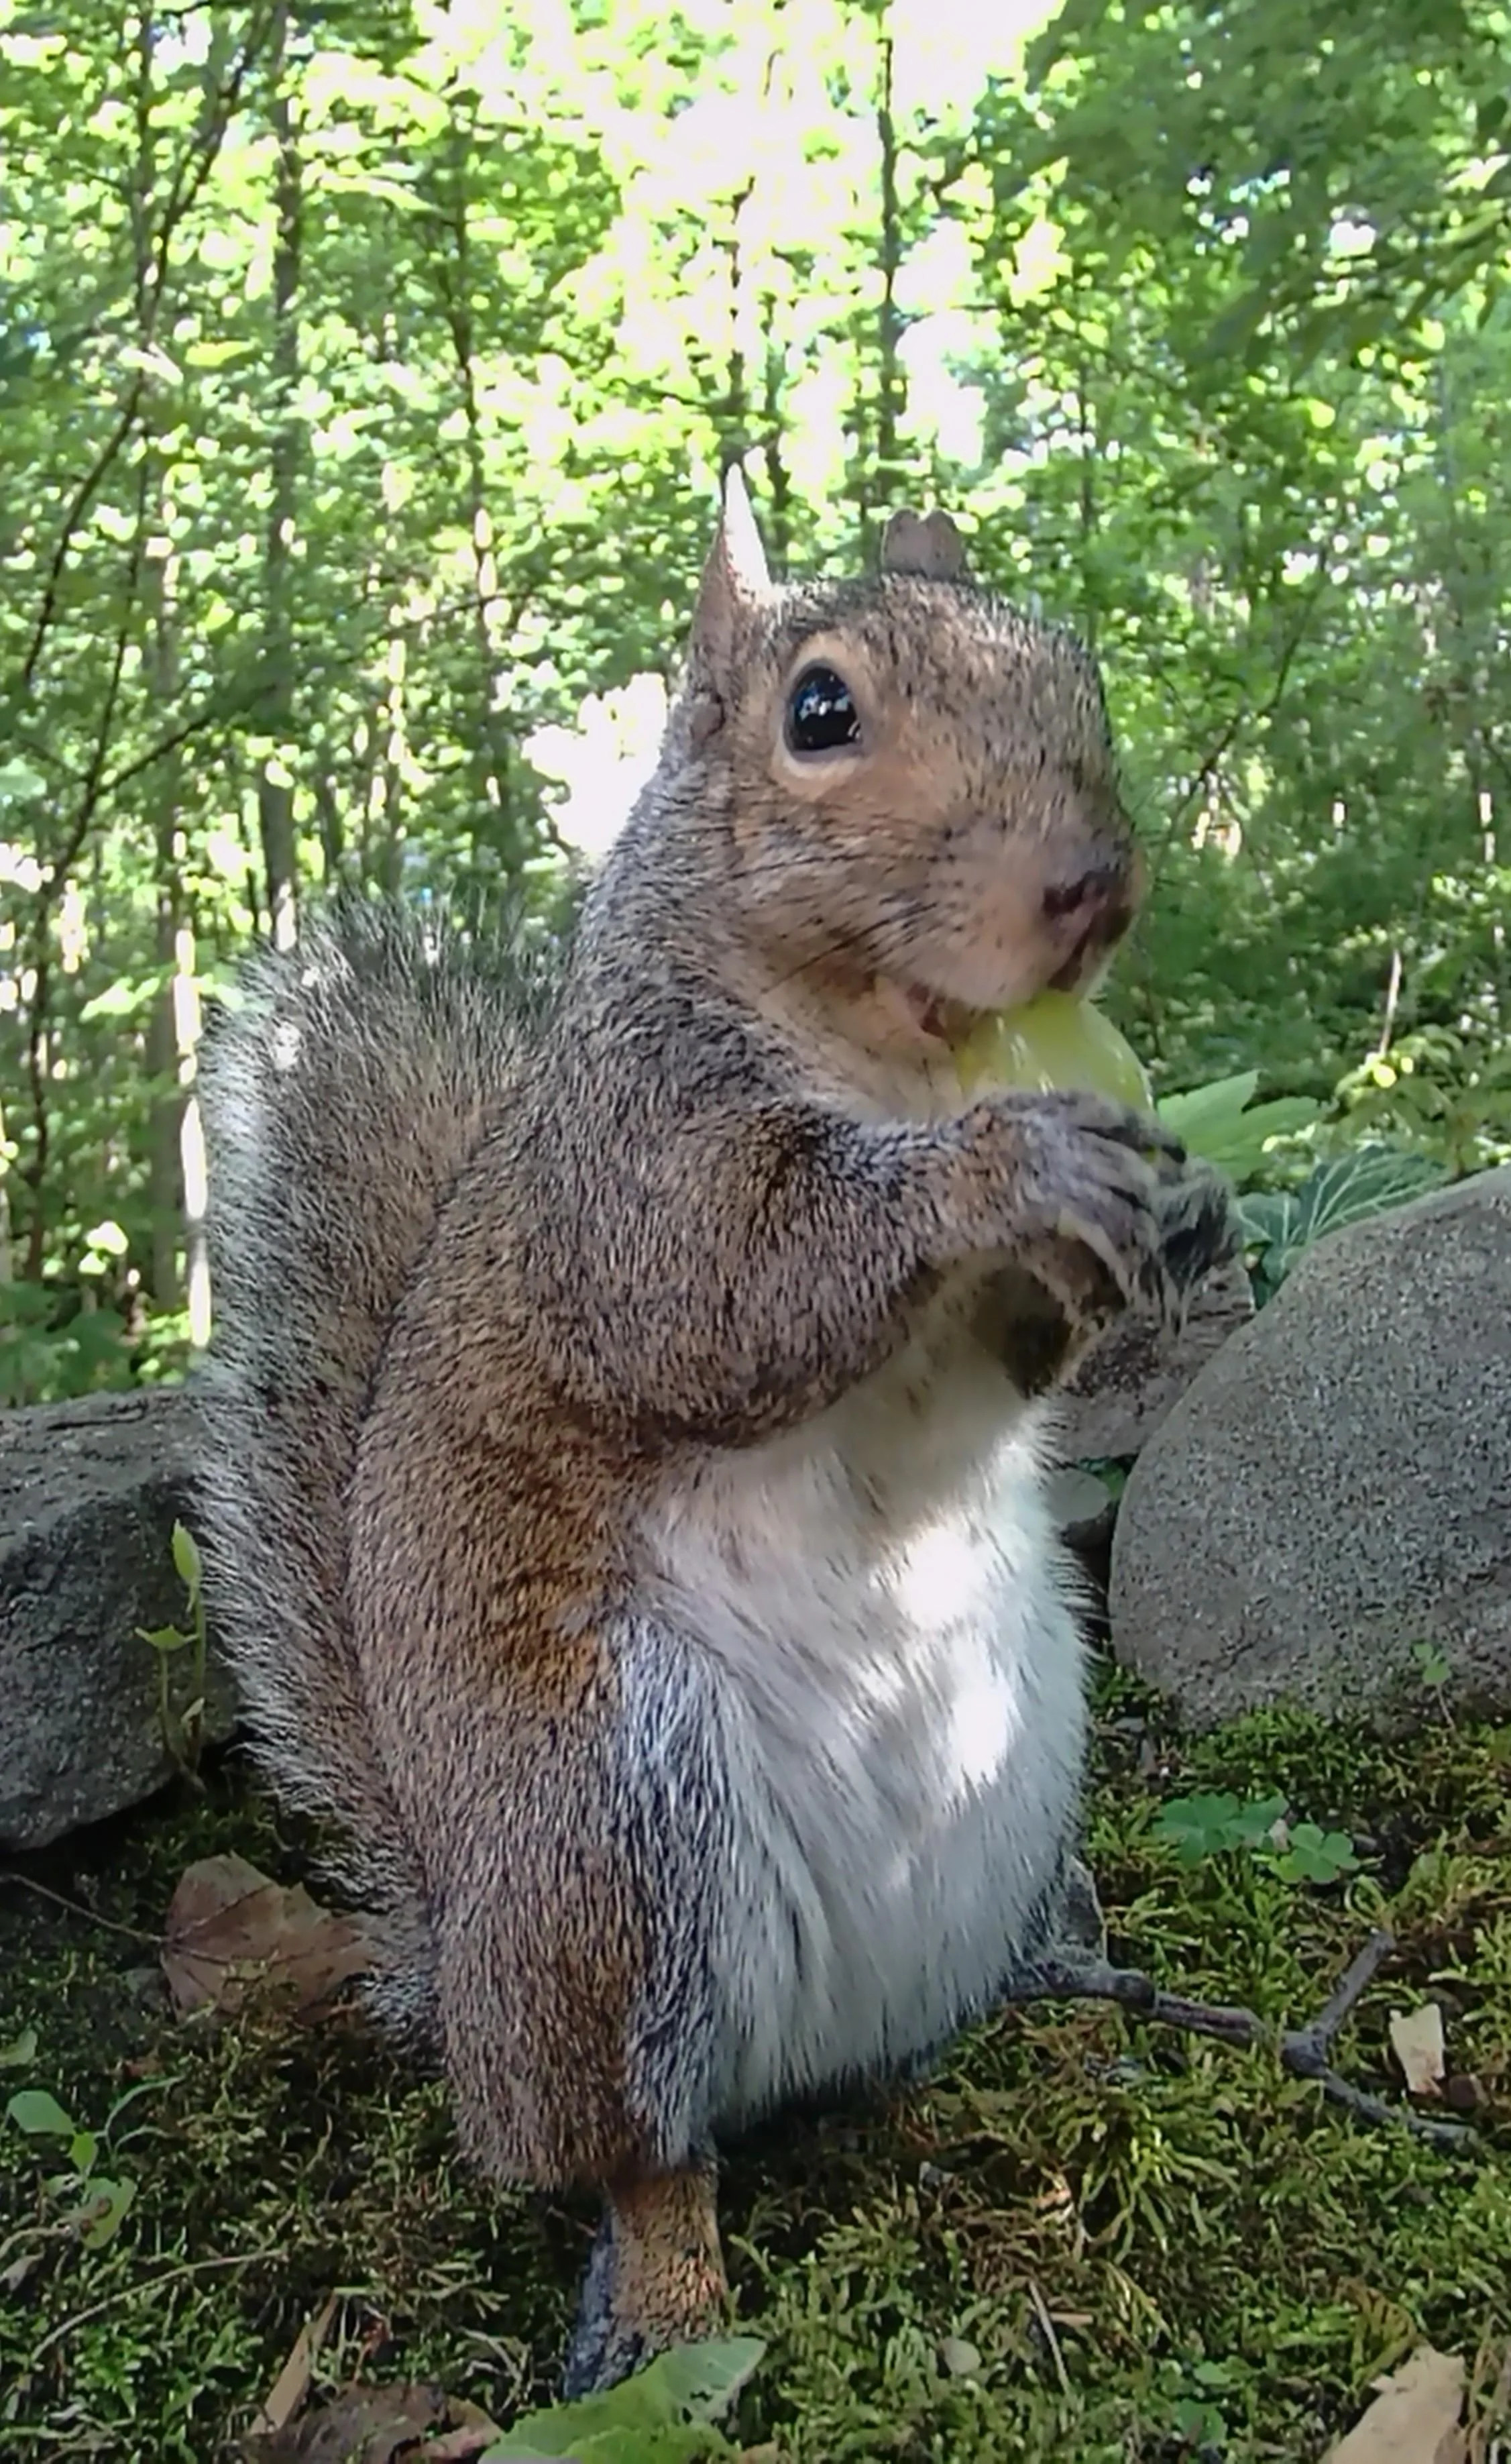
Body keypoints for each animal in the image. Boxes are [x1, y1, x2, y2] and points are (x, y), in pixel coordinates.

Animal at [193, 475, 1237, 2399]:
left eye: (1067, 659)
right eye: (816, 712)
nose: (1093, 886)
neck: (891, 1056)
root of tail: (462, 1981)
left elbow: (985, 1386)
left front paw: (1183, 1209)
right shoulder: (635, 1174)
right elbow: (736, 1297)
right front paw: (1007, 1169)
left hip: (1013, 1786)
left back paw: (1072, 2015)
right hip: (606, 1844)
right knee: (631, 2150)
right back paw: (668, 2295)